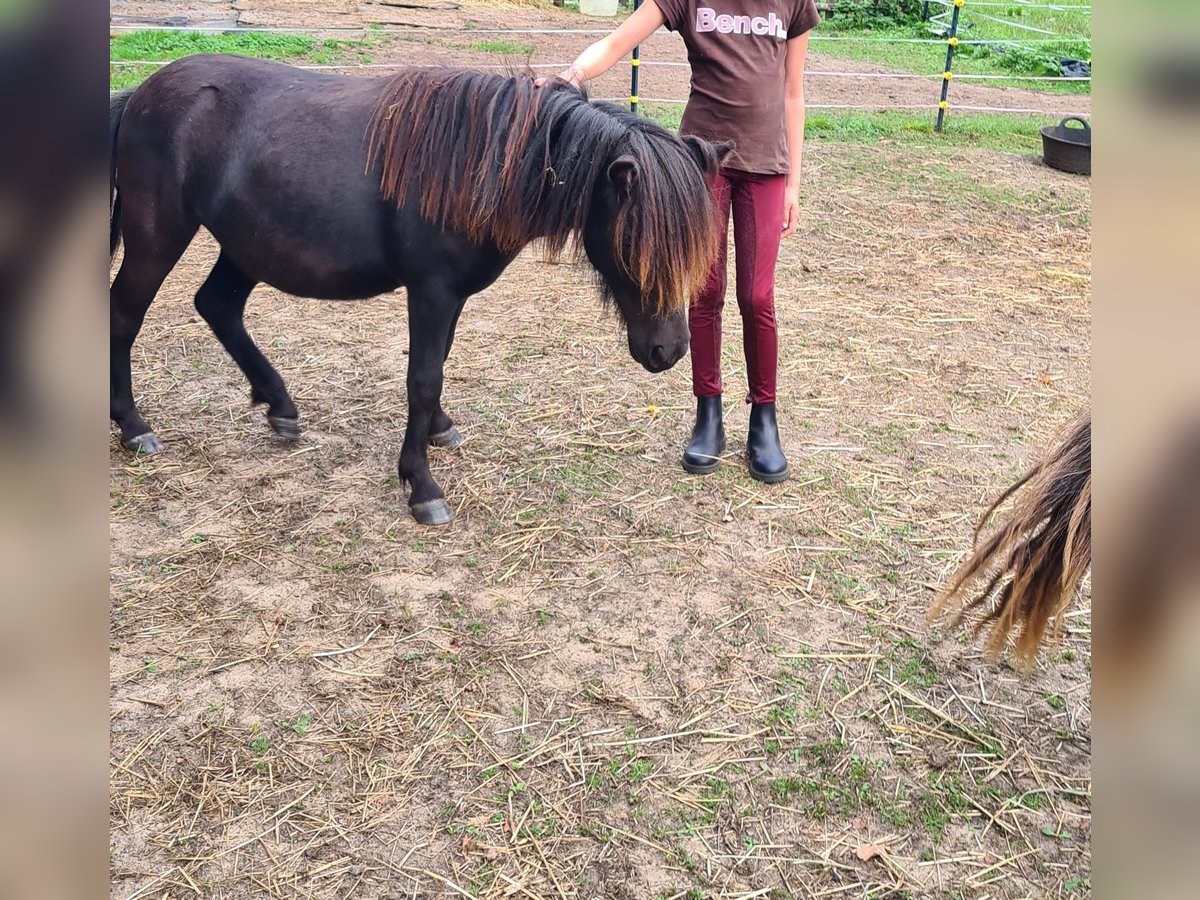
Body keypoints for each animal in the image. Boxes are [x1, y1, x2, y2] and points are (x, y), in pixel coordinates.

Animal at [112, 56, 729, 528]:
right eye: (637, 246)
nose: (668, 350)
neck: (482, 163)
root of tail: (143, 92)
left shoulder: (450, 296)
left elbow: (438, 370)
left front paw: (438, 431)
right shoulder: (431, 290)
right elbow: (423, 378)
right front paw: (422, 486)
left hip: (245, 248)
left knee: (218, 306)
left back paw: (280, 406)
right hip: (157, 239)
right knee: (124, 315)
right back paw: (134, 428)